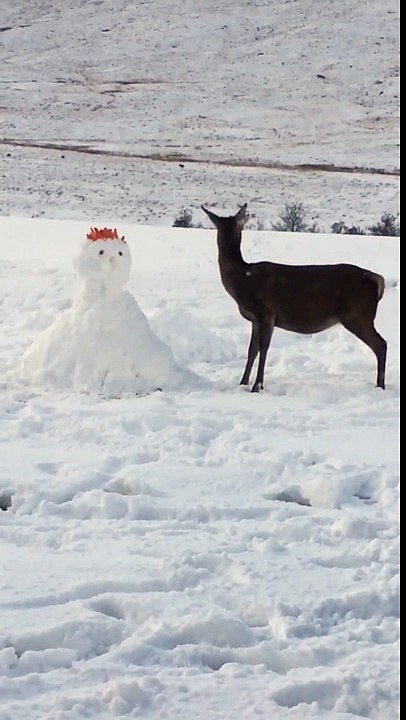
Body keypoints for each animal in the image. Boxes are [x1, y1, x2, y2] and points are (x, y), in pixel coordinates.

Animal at [201, 203, 387, 393]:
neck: (243, 280)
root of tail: (378, 280)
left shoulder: (267, 312)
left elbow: (264, 348)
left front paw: (257, 385)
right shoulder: (255, 319)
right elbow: (252, 350)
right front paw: (243, 382)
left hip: (357, 315)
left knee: (381, 344)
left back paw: (380, 385)